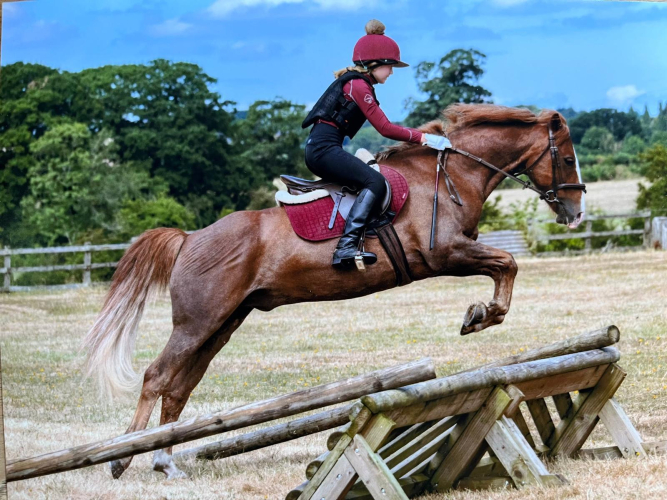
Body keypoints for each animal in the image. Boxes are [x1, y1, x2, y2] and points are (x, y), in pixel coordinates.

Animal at [83, 103, 585, 479]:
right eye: (566, 158)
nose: (576, 213)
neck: (449, 174)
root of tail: (189, 238)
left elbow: (506, 267)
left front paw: (481, 314)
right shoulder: (445, 253)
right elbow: (508, 264)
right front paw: (480, 315)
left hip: (223, 322)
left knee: (179, 386)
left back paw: (165, 462)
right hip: (198, 320)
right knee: (157, 377)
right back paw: (123, 459)